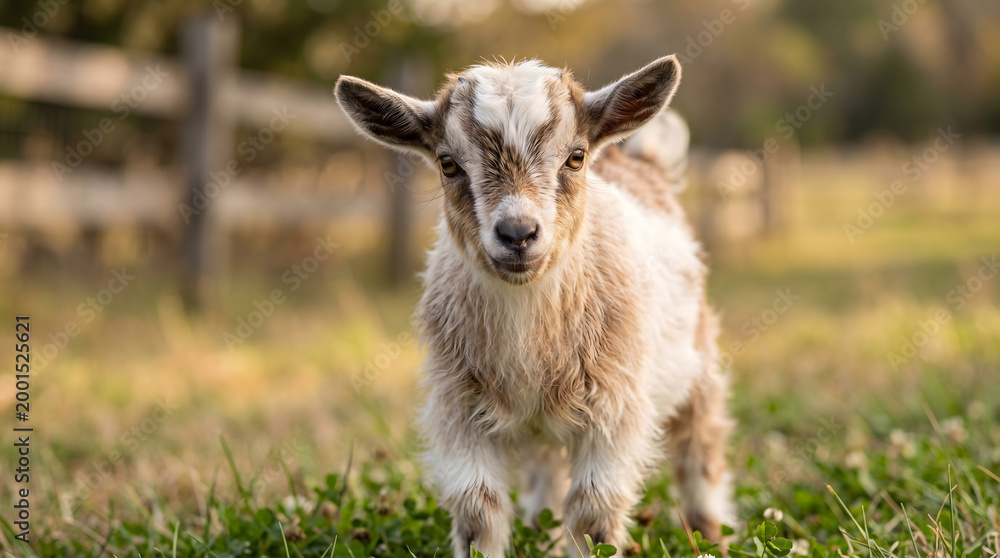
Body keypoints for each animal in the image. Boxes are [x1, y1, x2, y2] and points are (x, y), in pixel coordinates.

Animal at [335, 55, 734, 557]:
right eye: (448, 163)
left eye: (576, 157)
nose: (518, 233)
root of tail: (642, 162)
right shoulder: (459, 410)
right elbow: (478, 511)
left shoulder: (613, 410)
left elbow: (593, 514)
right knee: (547, 478)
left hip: (699, 362)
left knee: (700, 450)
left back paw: (711, 534)